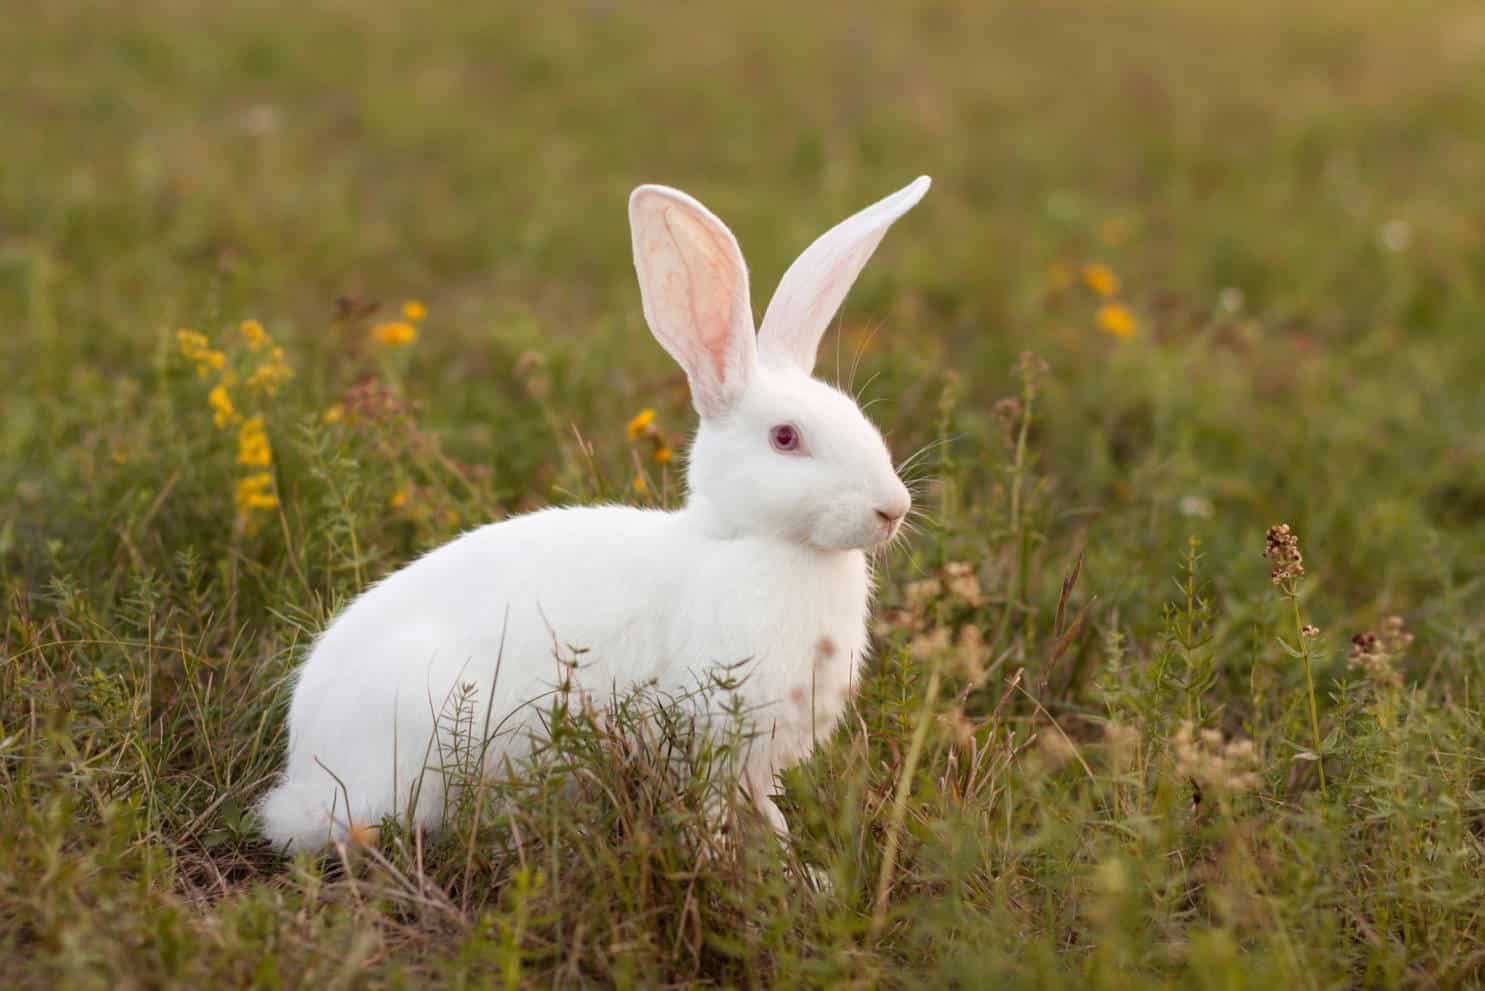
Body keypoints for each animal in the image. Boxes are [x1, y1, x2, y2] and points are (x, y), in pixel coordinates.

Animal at [255, 174, 926, 849]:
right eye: (786, 438)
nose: (893, 509)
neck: (749, 541)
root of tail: (304, 767)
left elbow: (765, 807)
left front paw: (791, 861)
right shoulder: (711, 739)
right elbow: (712, 810)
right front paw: (725, 857)